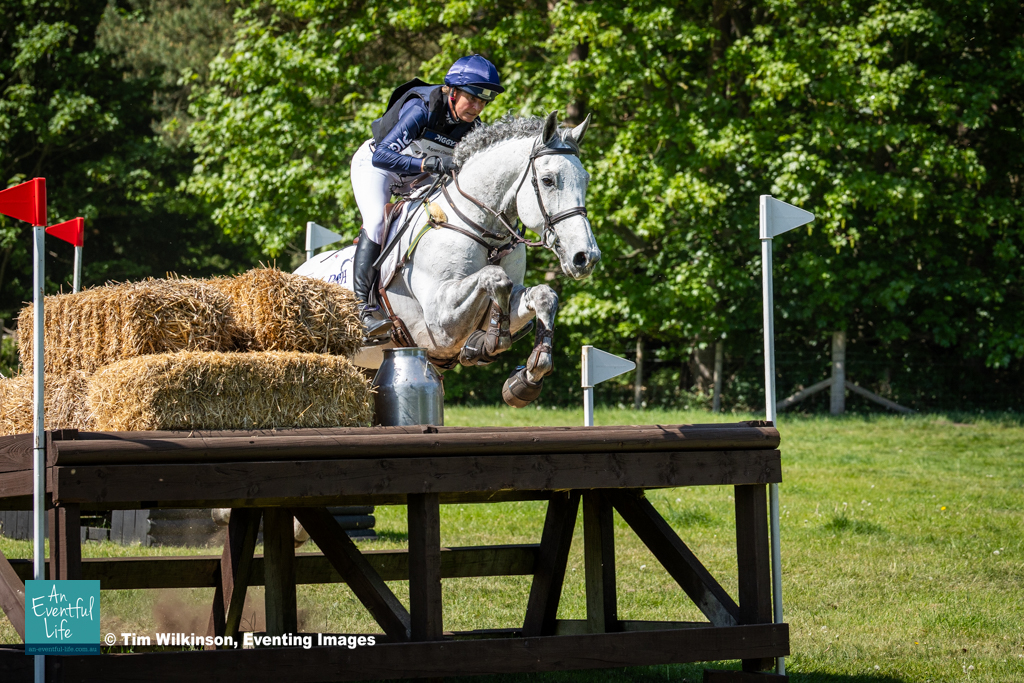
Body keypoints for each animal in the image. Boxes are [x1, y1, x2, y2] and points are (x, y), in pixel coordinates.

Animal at [296, 111, 600, 407]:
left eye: (586, 180)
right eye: (548, 180)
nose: (586, 257)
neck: (483, 231)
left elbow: (544, 295)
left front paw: (525, 376)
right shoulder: (439, 321)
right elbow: (495, 278)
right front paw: (492, 340)